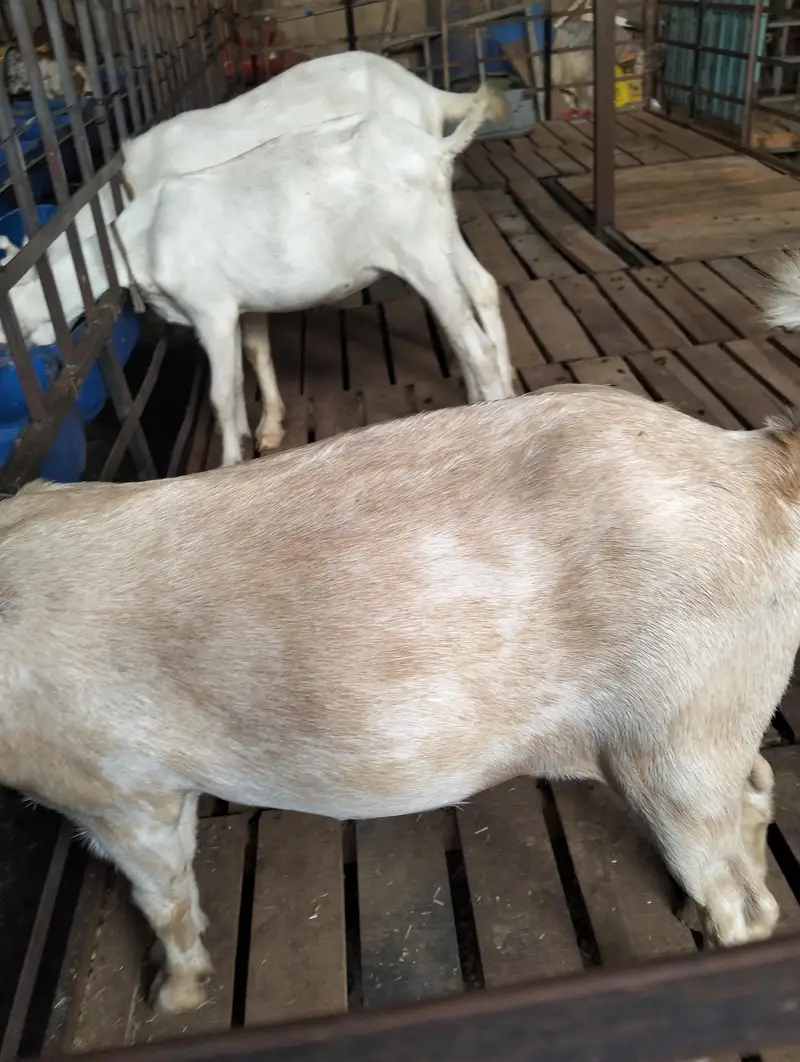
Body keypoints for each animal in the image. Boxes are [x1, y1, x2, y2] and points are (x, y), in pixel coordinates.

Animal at [0, 384, 789, 1012]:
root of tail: (758, 459)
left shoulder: (117, 789)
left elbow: (160, 891)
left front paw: (175, 998)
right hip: (719, 718)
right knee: (757, 791)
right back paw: (692, 909)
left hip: (676, 743)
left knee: (742, 895)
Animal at [26, 50, 509, 453]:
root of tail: (427, 98)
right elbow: (254, 351)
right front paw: (267, 427)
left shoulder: (215, 299)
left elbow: (227, 383)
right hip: (440, 226)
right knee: (481, 287)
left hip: (419, 245)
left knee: (465, 327)